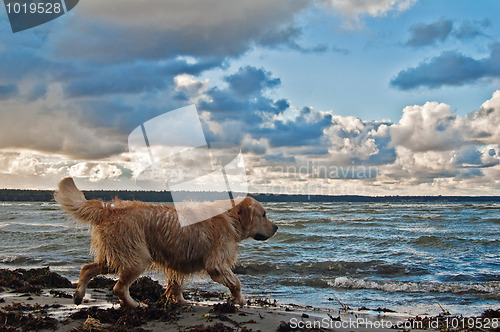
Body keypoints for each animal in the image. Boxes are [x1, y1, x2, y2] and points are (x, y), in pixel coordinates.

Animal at [54, 178, 278, 308]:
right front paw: (241, 300)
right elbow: (236, 282)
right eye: (264, 215)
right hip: (138, 257)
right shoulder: (216, 264)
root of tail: (110, 209)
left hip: (116, 255)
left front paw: (180, 301)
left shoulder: (178, 260)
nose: (276, 228)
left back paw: (78, 295)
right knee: (118, 288)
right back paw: (135, 305)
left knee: (86, 268)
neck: (230, 217)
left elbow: (176, 284)